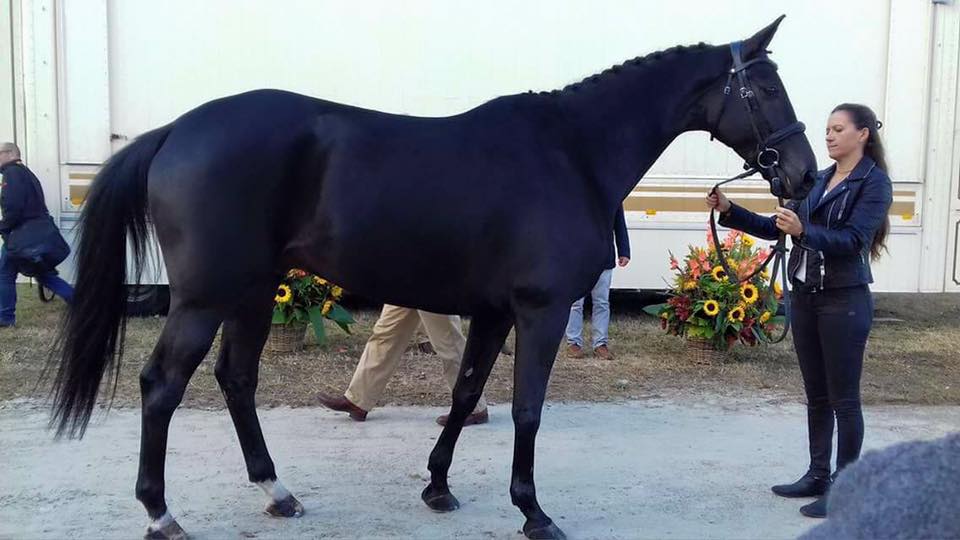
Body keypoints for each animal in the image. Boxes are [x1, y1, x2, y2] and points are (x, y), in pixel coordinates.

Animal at [48, 14, 812, 536]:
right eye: (766, 89)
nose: (804, 174)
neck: (570, 151)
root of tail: (175, 131)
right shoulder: (539, 311)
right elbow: (527, 409)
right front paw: (533, 511)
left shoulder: (494, 311)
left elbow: (466, 388)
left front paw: (438, 486)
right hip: (204, 298)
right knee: (162, 386)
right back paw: (160, 513)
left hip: (252, 293)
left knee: (236, 380)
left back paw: (277, 492)